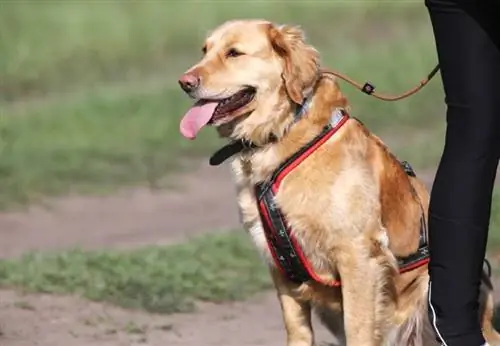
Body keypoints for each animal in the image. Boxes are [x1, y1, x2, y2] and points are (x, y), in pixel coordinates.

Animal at [177, 19, 500, 346]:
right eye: (205, 50)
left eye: (234, 53)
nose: (185, 82)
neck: (283, 135)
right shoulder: (279, 266)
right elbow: (297, 331)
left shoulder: (358, 254)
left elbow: (358, 329)